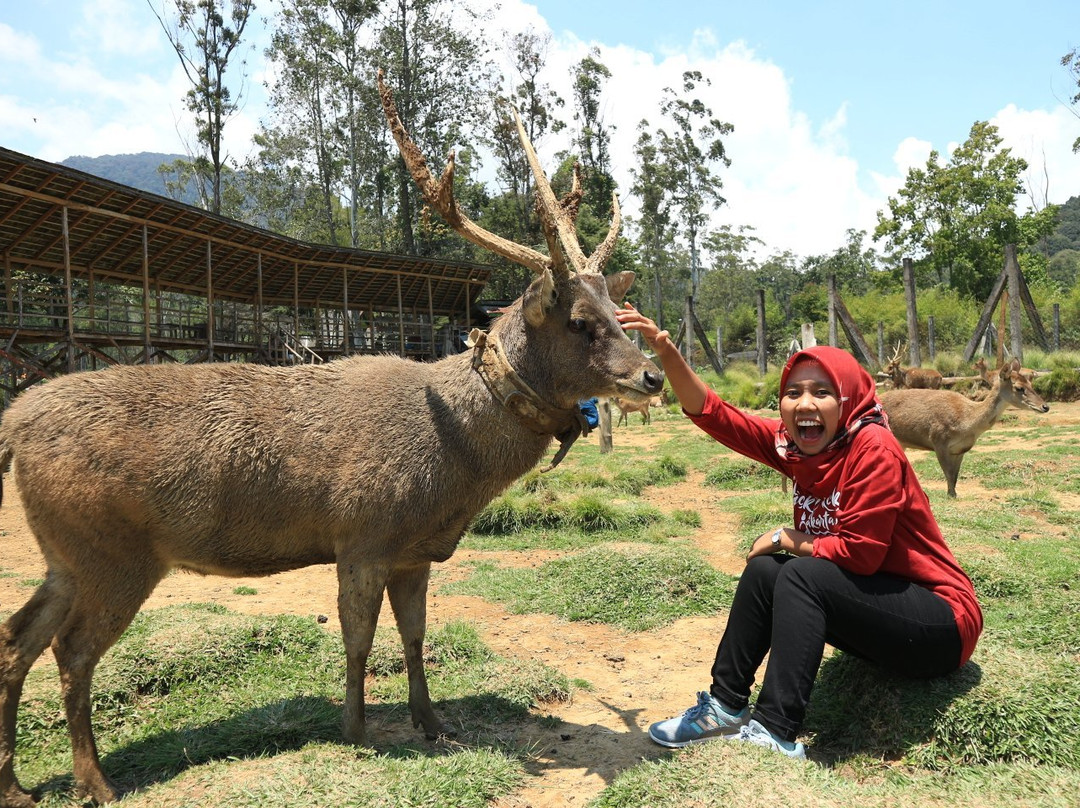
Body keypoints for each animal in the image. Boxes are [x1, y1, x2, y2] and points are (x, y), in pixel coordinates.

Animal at [0, 70, 665, 808]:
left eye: (619, 311)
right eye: (581, 321)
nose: (654, 375)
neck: (454, 473)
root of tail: (13, 425)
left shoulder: (414, 551)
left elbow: (414, 637)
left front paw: (433, 723)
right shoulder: (362, 533)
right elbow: (358, 639)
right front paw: (355, 730)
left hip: (65, 555)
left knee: (15, 638)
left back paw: (17, 784)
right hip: (114, 550)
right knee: (71, 651)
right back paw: (97, 782)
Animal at [881, 358, 1049, 494]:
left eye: (1030, 383)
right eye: (1019, 387)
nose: (1045, 406)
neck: (966, 423)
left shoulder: (960, 449)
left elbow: (954, 478)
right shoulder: (938, 441)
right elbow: (949, 476)